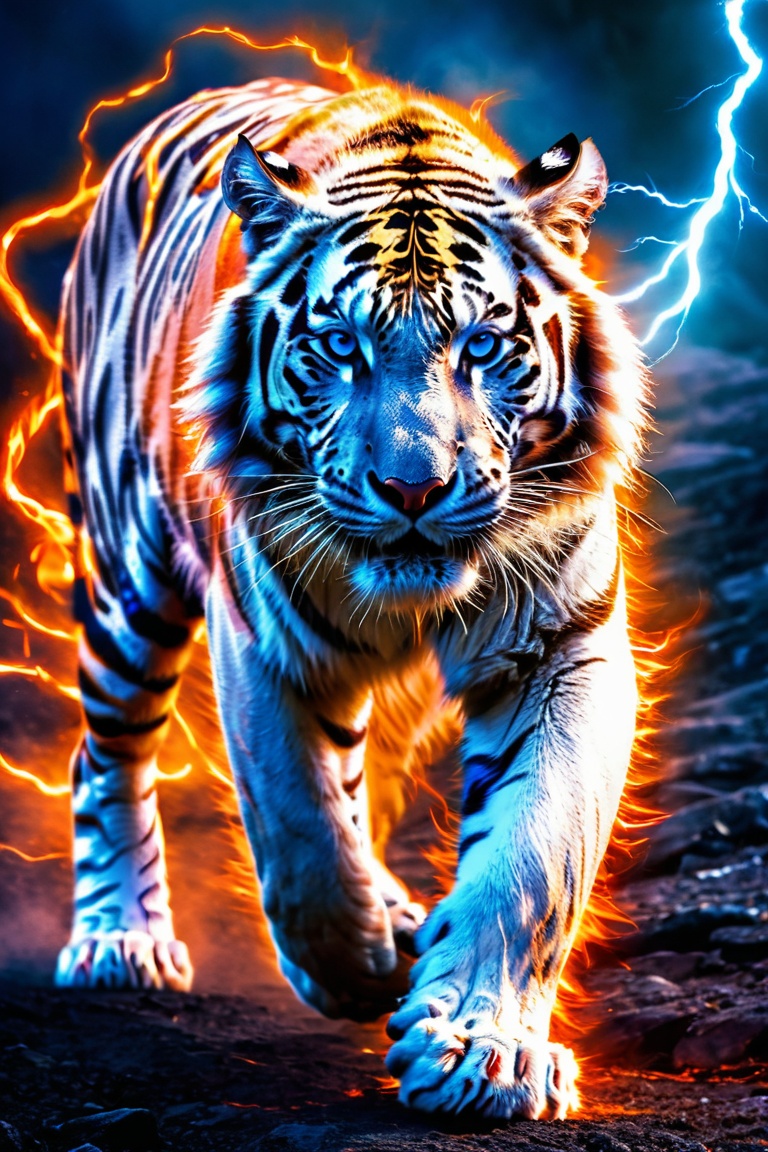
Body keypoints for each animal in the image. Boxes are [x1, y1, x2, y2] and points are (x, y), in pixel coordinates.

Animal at [53, 73, 647, 1122]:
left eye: (483, 346)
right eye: (338, 347)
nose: (412, 489)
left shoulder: (563, 649)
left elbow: (533, 854)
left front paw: (482, 1054)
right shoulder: (262, 639)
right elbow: (302, 831)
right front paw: (360, 967)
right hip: (128, 576)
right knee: (106, 753)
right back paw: (120, 941)